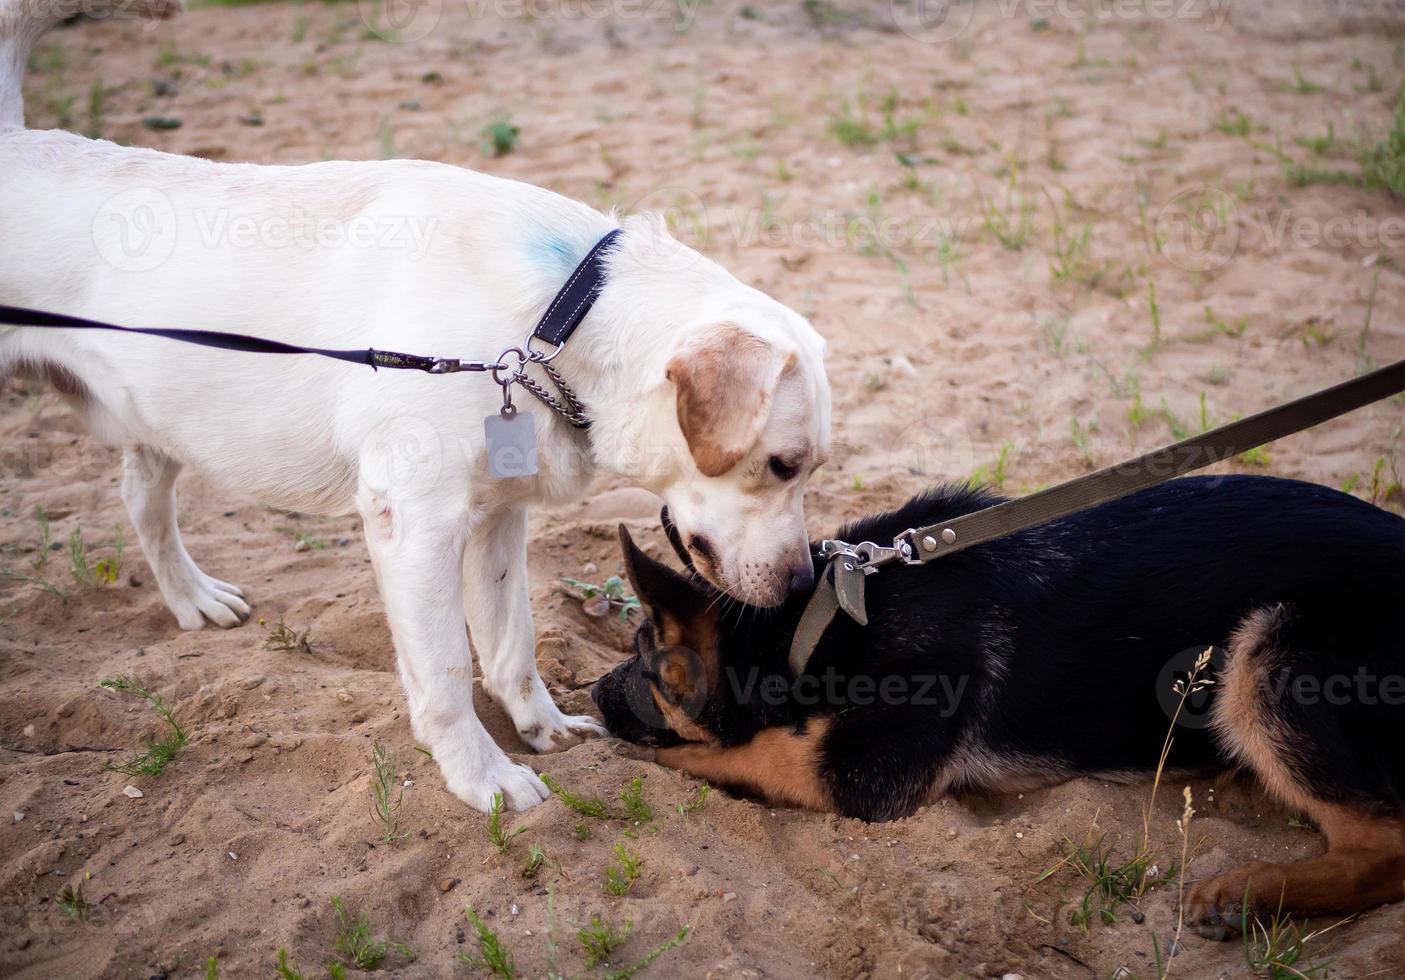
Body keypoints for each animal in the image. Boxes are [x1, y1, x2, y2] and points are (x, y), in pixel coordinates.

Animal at [0, 0, 826, 803]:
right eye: (781, 466)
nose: (800, 587)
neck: (556, 319)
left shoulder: (498, 518)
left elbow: (511, 643)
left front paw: (541, 726)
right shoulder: (415, 522)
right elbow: (447, 672)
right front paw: (481, 777)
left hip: (160, 419)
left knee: (143, 501)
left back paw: (192, 599)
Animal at [592, 474, 1405, 932]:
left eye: (643, 651)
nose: (593, 695)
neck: (822, 618)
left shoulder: (863, 778)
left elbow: (743, 752)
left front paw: (651, 754)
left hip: (1264, 656)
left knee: (1384, 851)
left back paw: (1245, 893)